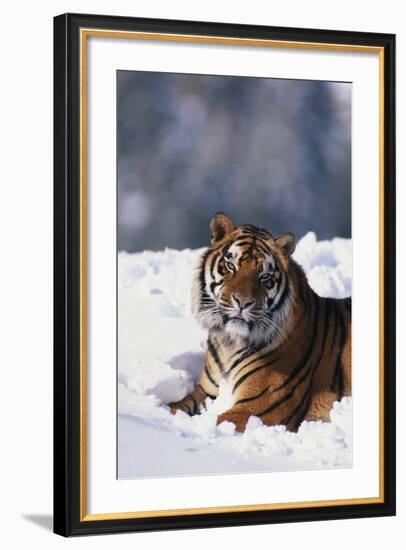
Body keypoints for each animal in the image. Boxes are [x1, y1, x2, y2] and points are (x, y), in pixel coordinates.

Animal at [169, 213, 352, 434]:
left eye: (264, 276)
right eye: (231, 266)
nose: (242, 302)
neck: (229, 342)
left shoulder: (260, 405)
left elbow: (217, 421)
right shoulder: (207, 391)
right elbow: (175, 407)